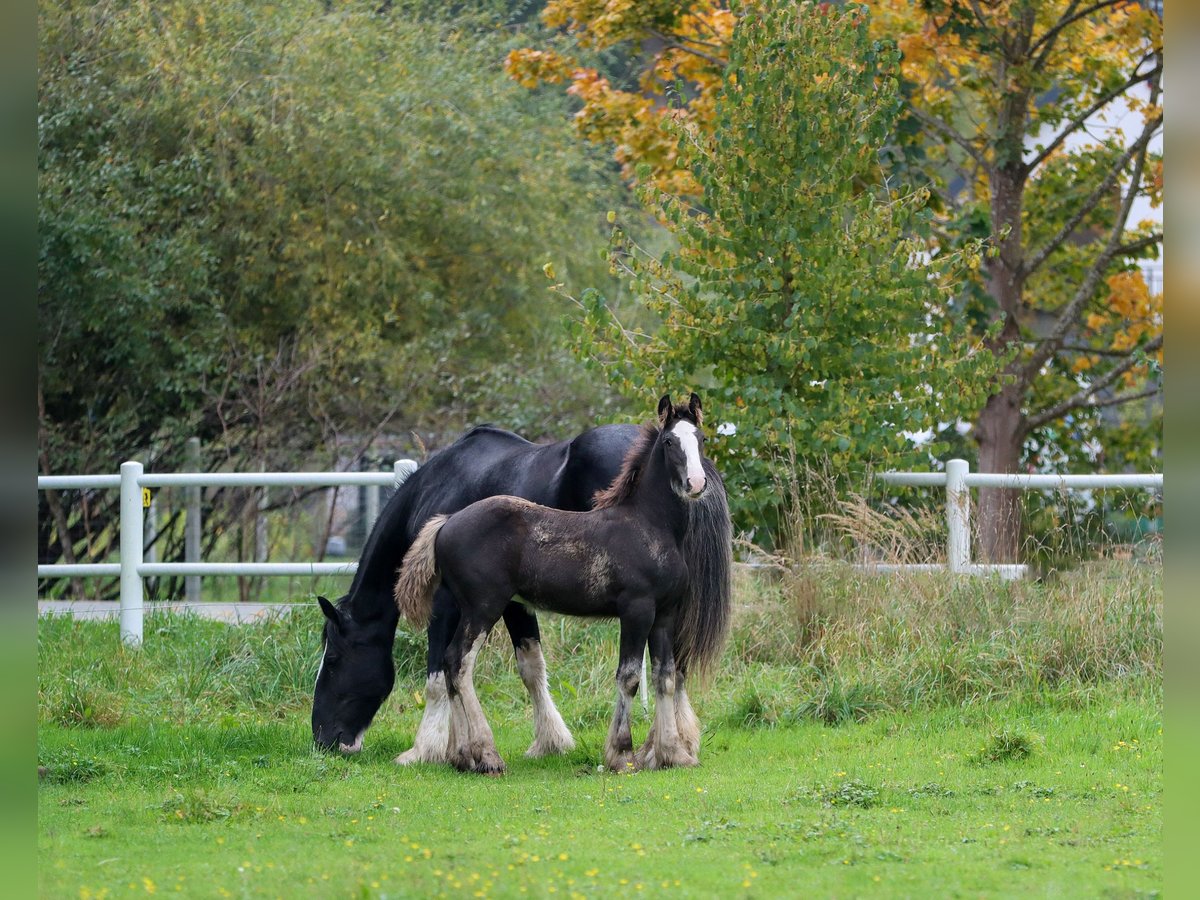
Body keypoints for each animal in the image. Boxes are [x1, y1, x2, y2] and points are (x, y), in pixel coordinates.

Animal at [311, 419, 732, 764]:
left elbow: (438, 676)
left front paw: (426, 749)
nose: (324, 740)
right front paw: (546, 742)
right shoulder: (515, 603)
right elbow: (529, 666)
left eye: (332, 660)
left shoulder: (447, 603)